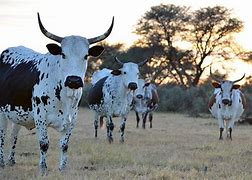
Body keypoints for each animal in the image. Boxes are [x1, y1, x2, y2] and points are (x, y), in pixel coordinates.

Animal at [0, 13, 113, 174]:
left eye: (86, 56)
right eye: (63, 54)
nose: (74, 80)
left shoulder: (72, 120)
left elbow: (64, 145)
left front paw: (63, 168)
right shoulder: (40, 118)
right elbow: (44, 144)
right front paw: (43, 169)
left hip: (17, 113)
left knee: (13, 135)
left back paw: (11, 161)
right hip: (2, 113)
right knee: (2, 136)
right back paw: (2, 162)